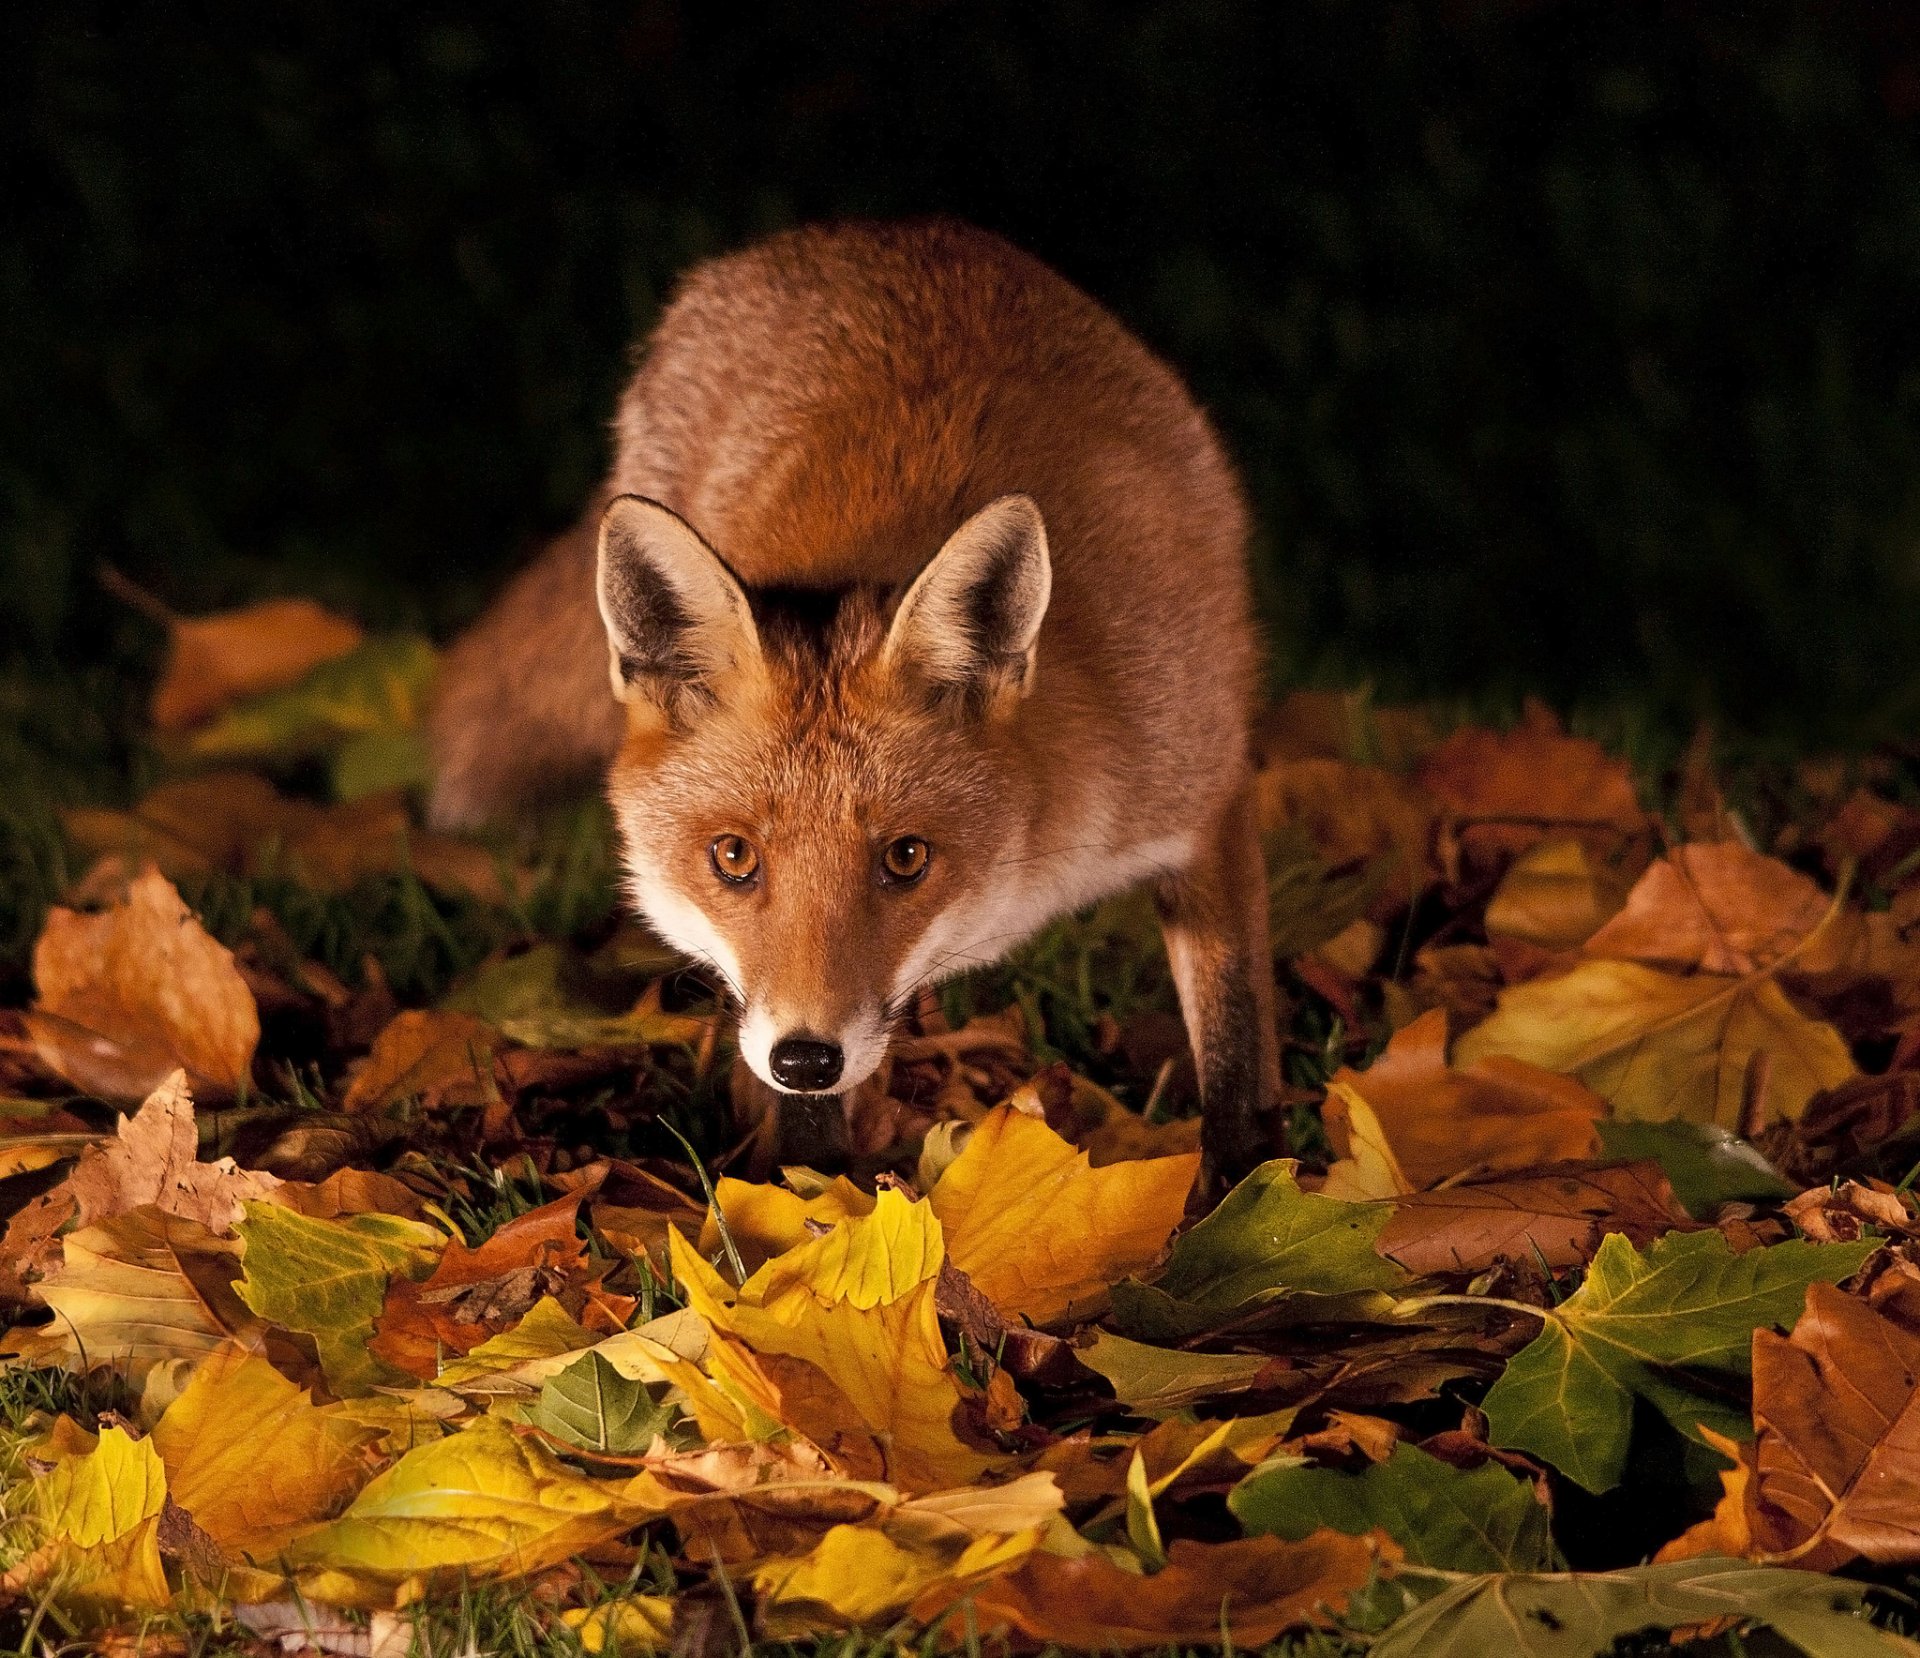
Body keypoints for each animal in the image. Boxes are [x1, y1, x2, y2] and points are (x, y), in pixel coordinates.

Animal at [429, 218, 1280, 1179]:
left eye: (905, 858)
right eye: (733, 857)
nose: (806, 1057)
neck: (1041, 854)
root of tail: (870, 231)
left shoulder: (1206, 791)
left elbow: (1236, 1054)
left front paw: (1244, 1195)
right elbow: (809, 1133)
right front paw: (817, 1199)